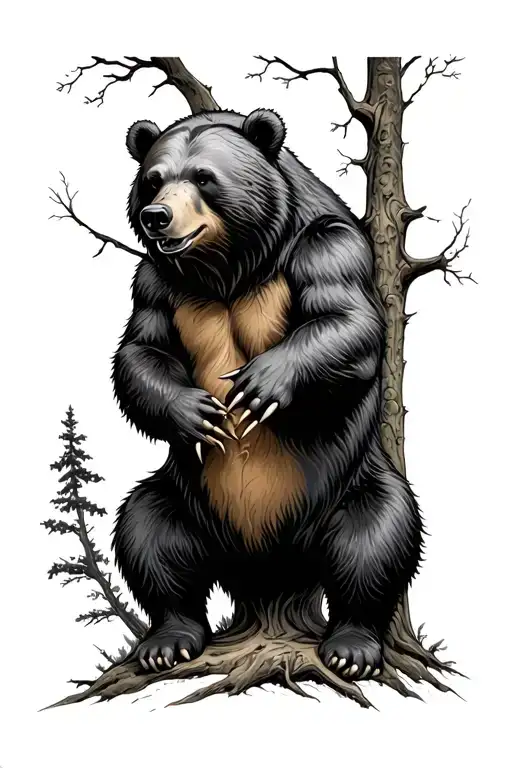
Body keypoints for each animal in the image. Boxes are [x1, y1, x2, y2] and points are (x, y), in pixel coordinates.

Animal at [112, 108, 423, 680]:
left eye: (204, 177)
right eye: (153, 178)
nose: (156, 216)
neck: (230, 267)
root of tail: (267, 567)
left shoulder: (326, 248)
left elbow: (346, 321)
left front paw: (257, 385)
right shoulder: (156, 282)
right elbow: (142, 349)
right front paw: (197, 413)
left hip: (351, 486)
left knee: (376, 537)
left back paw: (352, 646)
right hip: (185, 498)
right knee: (150, 534)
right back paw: (168, 640)